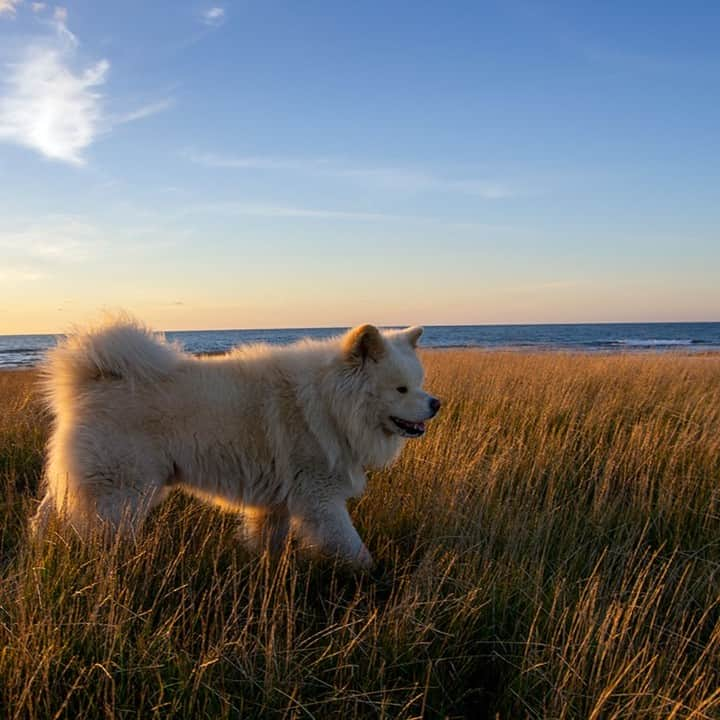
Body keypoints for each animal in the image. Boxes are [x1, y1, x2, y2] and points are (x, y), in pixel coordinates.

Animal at [32, 316, 438, 568]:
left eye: (419, 383)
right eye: (401, 389)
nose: (436, 403)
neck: (328, 401)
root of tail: (92, 380)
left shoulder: (278, 502)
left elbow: (269, 542)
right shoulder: (319, 497)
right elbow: (354, 548)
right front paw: (373, 573)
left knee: (46, 515)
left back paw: (42, 549)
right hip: (122, 493)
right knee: (101, 533)